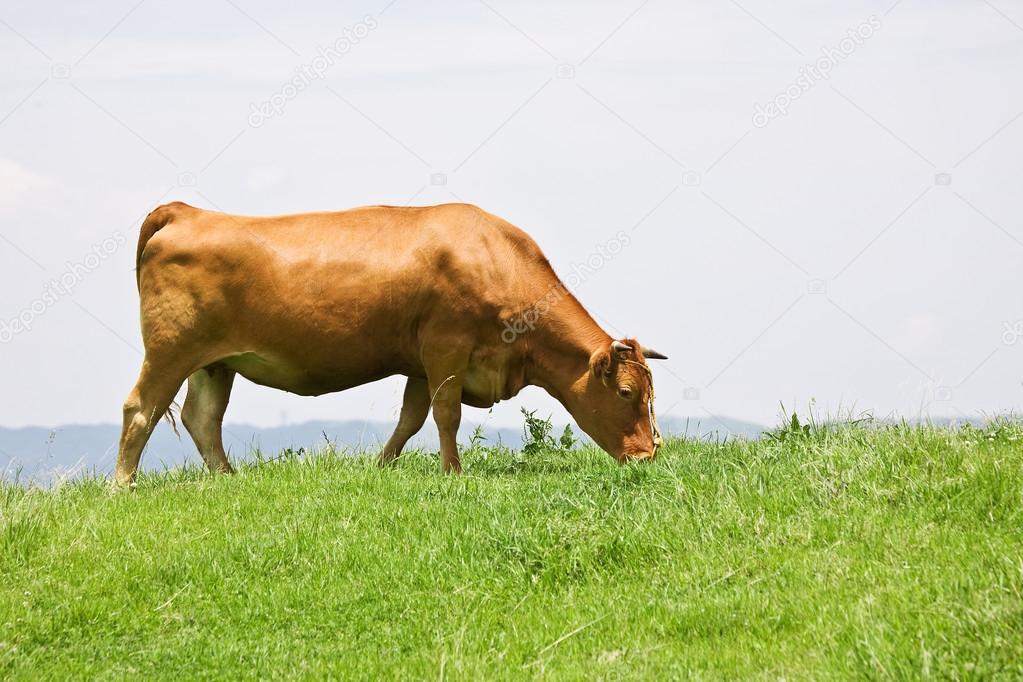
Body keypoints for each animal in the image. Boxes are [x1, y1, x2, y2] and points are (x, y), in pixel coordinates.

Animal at [116, 201, 666, 484]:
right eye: (625, 393)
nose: (646, 457)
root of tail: (187, 211)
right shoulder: (446, 346)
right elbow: (447, 414)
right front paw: (453, 473)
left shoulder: (421, 364)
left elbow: (411, 418)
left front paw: (382, 466)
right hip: (171, 350)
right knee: (141, 409)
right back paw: (125, 485)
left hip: (216, 362)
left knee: (202, 418)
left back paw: (228, 480)